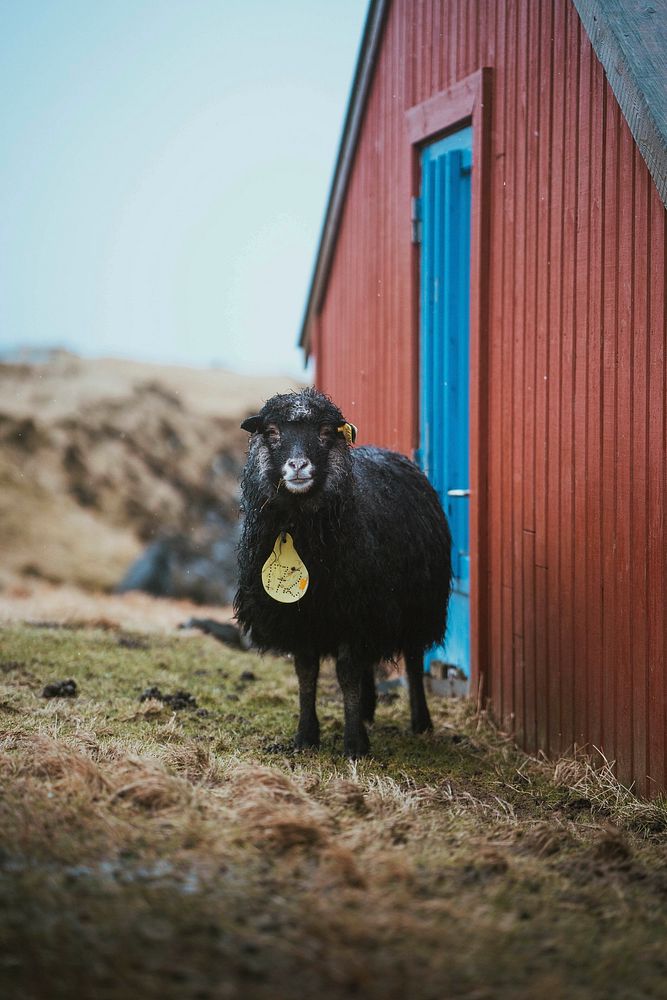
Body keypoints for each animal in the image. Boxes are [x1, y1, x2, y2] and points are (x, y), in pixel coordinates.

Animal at [235, 386, 454, 752]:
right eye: (272, 432)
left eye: (325, 432)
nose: (298, 465)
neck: (298, 530)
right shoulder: (303, 617)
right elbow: (307, 674)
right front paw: (306, 736)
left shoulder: (356, 612)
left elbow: (347, 674)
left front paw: (354, 744)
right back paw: (367, 709)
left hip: (417, 604)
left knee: (412, 659)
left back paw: (420, 721)